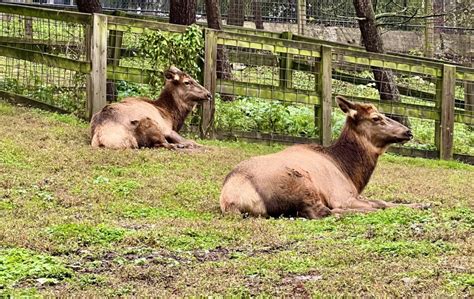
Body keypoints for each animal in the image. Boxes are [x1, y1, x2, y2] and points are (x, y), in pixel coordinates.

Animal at [220, 96, 428, 220]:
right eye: (376, 118)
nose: (408, 131)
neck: (351, 172)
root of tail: (230, 198)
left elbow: (383, 201)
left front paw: (422, 204)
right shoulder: (342, 196)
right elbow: (379, 204)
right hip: (302, 184)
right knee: (324, 212)